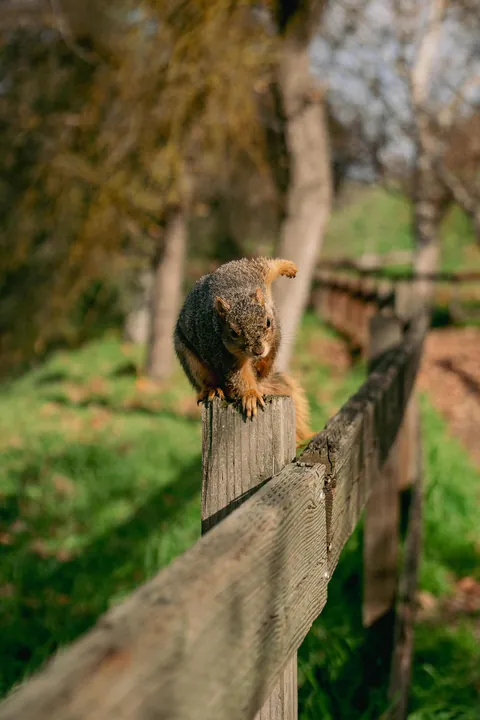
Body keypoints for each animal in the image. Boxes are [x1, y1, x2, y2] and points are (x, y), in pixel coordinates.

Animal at [174, 257, 311, 445]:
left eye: (268, 322)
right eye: (233, 332)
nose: (258, 350)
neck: (237, 294)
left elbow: (266, 265)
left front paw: (288, 267)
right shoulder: (221, 352)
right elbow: (239, 375)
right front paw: (251, 394)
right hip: (190, 359)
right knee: (204, 379)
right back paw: (212, 389)